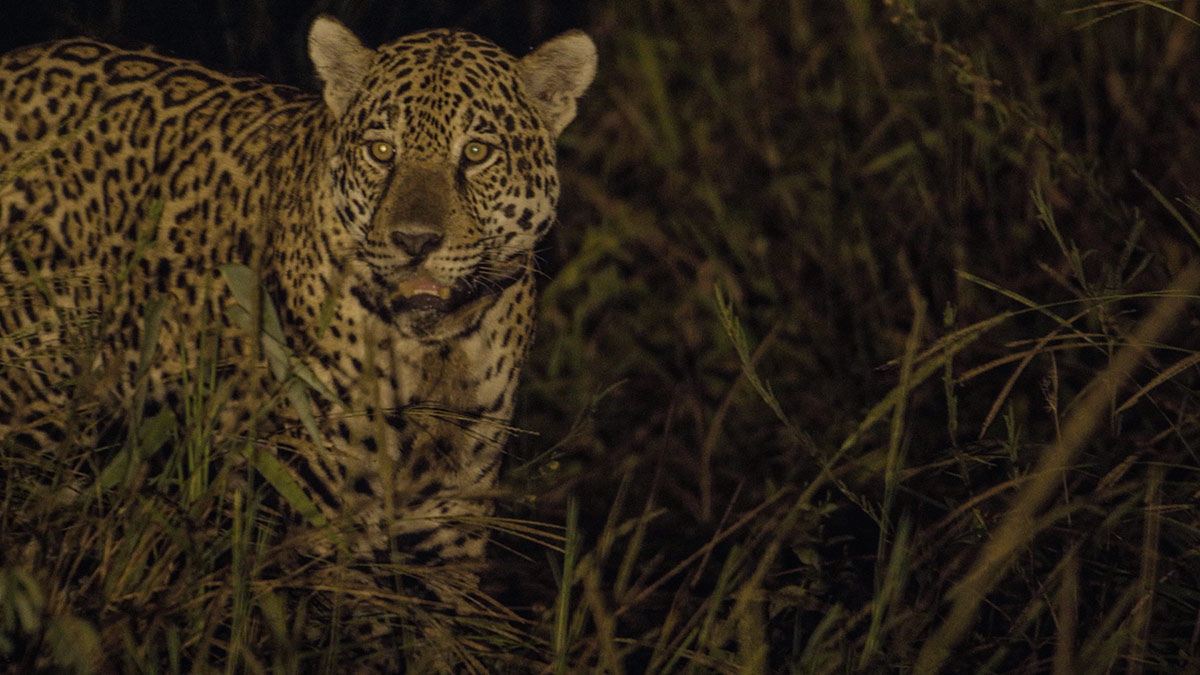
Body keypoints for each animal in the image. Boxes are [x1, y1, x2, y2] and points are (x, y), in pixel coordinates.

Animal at [0, 13, 595, 652]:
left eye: (478, 153)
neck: (436, 353)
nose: (414, 241)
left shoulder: (451, 521)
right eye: (382, 151)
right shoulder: (322, 512)